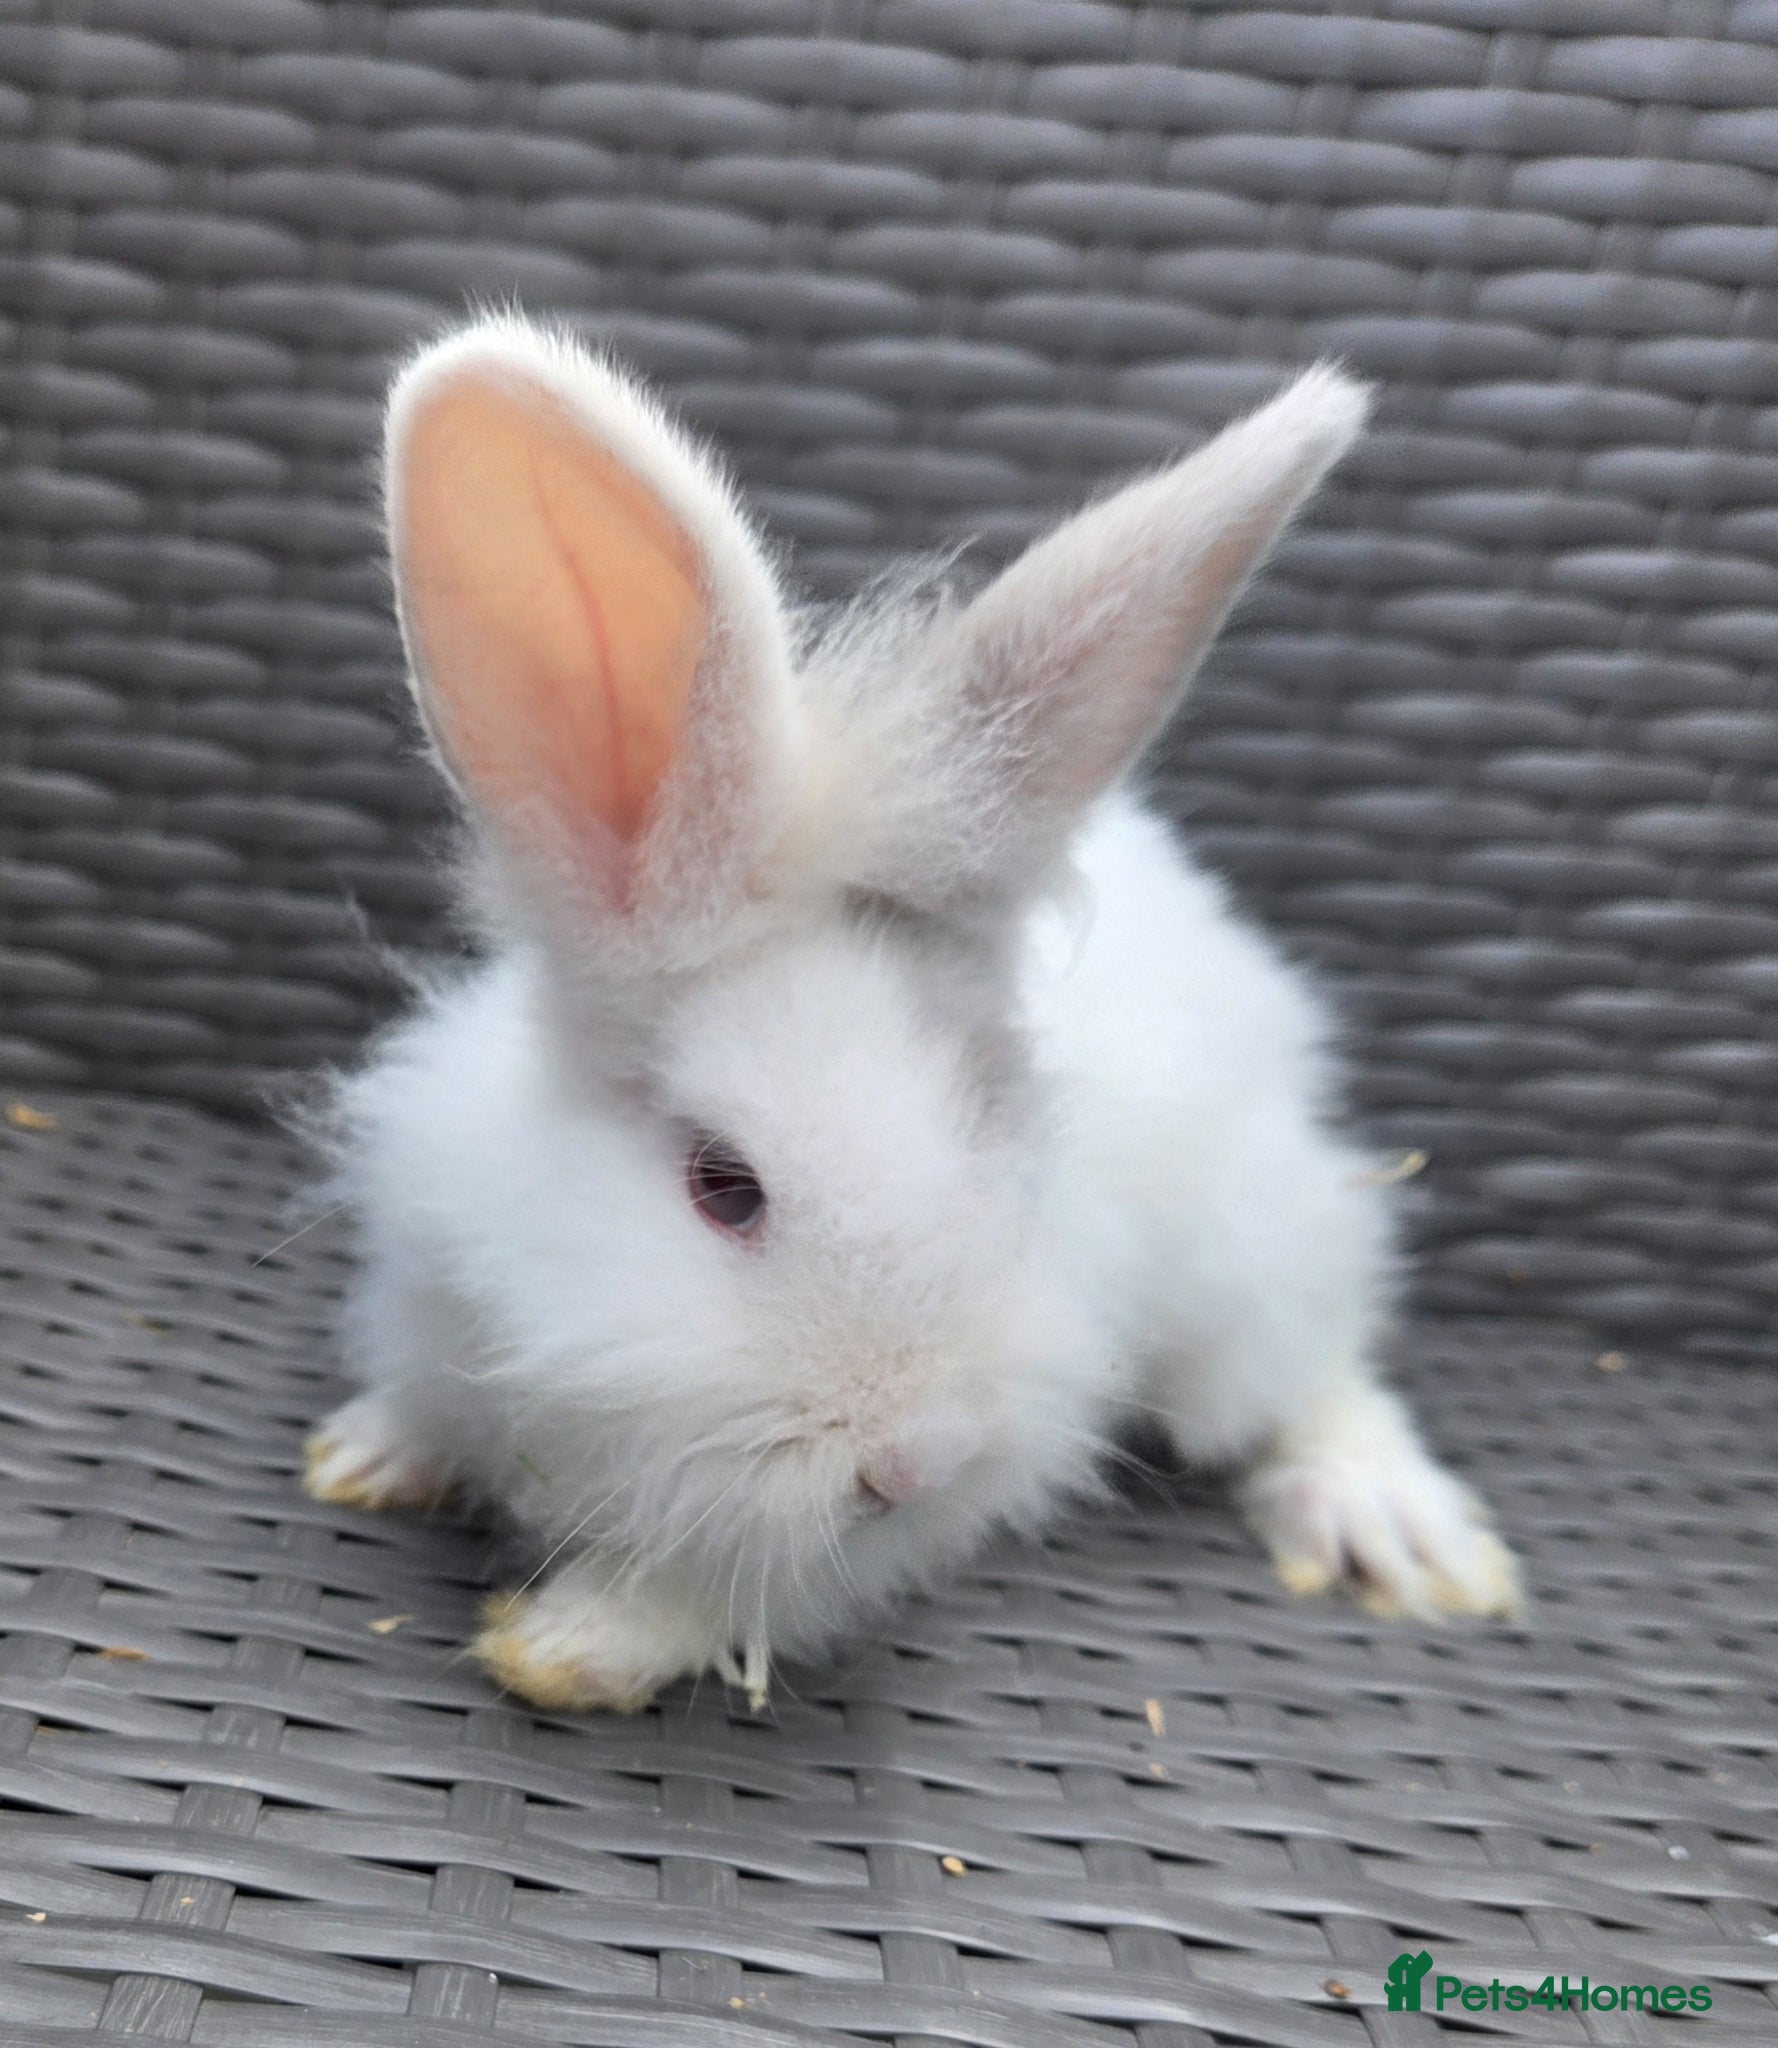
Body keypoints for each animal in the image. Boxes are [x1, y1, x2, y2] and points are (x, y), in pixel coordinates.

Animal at [303, 313, 1520, 1714]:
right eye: (723, 1186)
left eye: (1003, 1156)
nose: (915, 1461)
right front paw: (366, 1455)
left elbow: (725, 1598)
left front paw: (569, 1646)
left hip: (1253, 1265)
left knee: (1315, 1371)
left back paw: (1393, 1528)